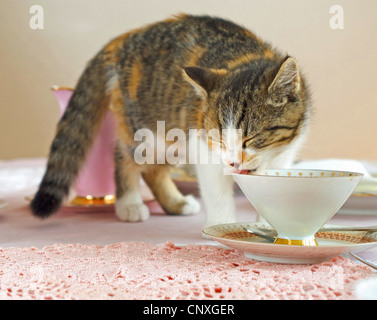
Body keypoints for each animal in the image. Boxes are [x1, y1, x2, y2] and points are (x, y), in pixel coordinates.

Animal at [30, 13, 310, 226]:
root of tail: (122, 40)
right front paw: (222, 227)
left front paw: (270, 226)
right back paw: (129, 204)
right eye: (219, 140)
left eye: (250, 139)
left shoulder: (284, 153)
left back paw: (175, 202)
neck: (247, 58)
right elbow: (215, 189)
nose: (232, 162)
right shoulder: (202, 144)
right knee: (126, 156)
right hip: (145, 124)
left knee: (154, 169)